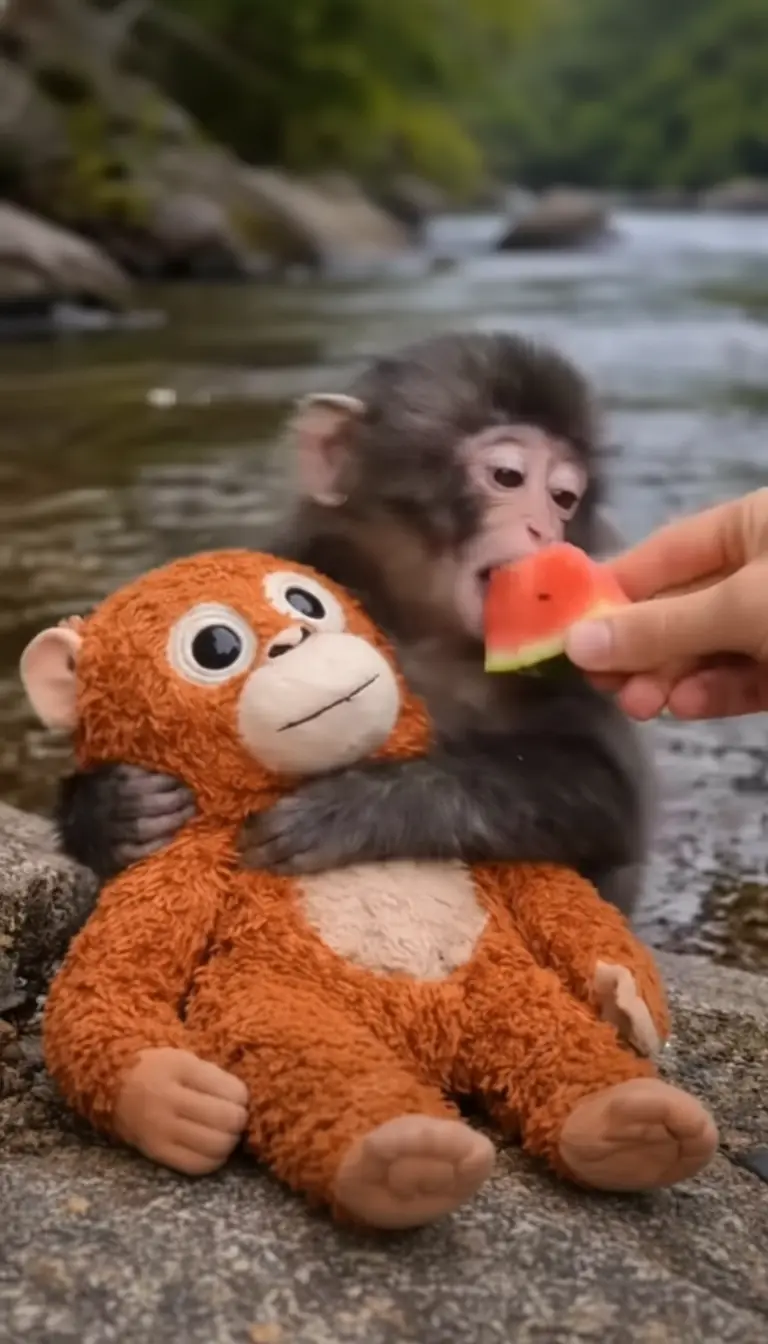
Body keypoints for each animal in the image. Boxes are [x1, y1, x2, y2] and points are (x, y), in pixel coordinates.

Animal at [54, 331, 651, 917]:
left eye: (563, 498)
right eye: (508, 476)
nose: (544, 529)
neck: (422, 626)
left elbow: (607, 797)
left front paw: (363, 806)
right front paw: (112, 806)